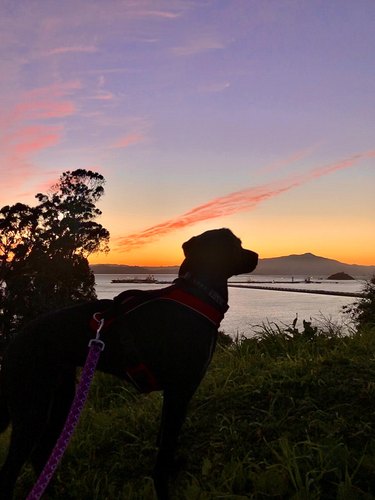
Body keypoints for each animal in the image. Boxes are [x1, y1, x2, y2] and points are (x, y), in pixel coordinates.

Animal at [0, 229, 258, 498]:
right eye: (237, 244)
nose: (257, 256)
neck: (198, 294)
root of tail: (11, 345)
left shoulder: (172, 395)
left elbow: (164, 440)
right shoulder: (180, 391)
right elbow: (165, 450)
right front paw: (163, 487)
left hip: (60, 399)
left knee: (41, 454)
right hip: (31, 405)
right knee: (9, 473)